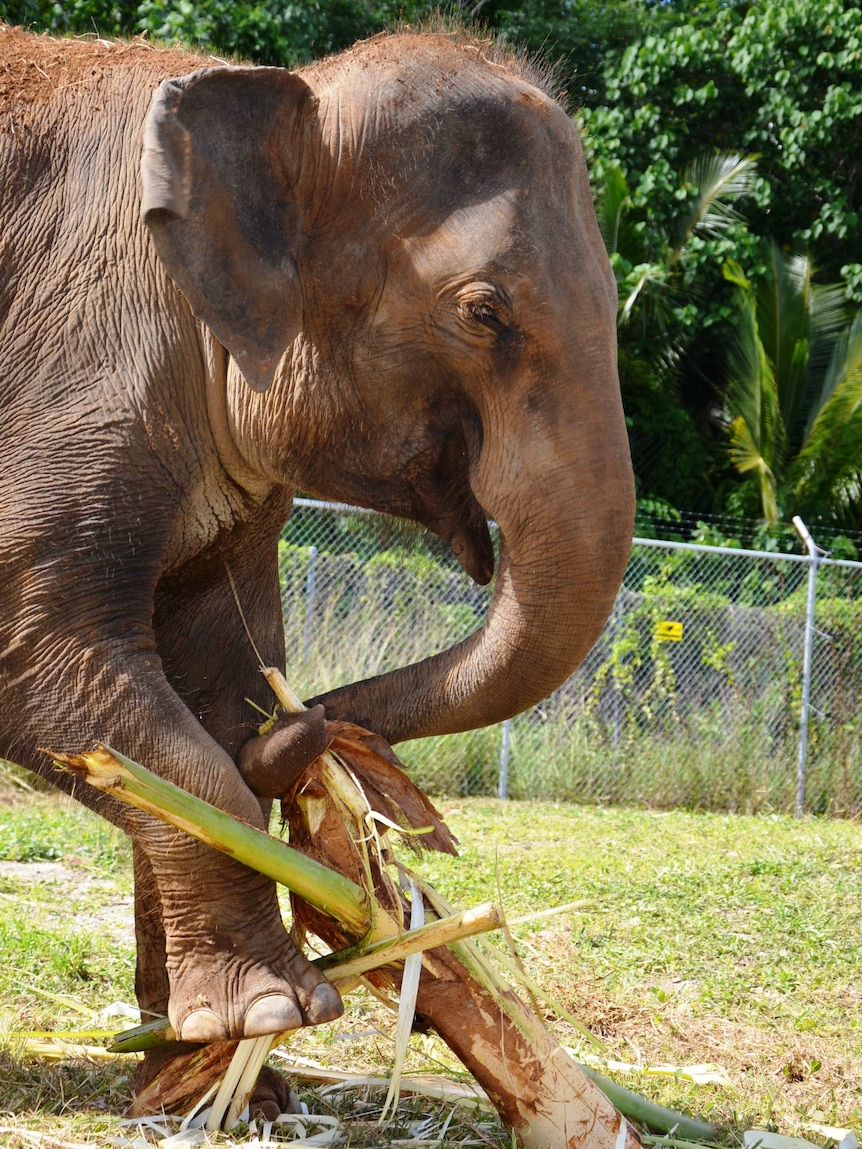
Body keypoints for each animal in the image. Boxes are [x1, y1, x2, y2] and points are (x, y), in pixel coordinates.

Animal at [0, 22, 634, 1103]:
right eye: (484, 312)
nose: (326, 726)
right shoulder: (73, 363)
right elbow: (58, 661)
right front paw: (270, 1012)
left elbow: (217, 688)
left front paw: (211, 1072)